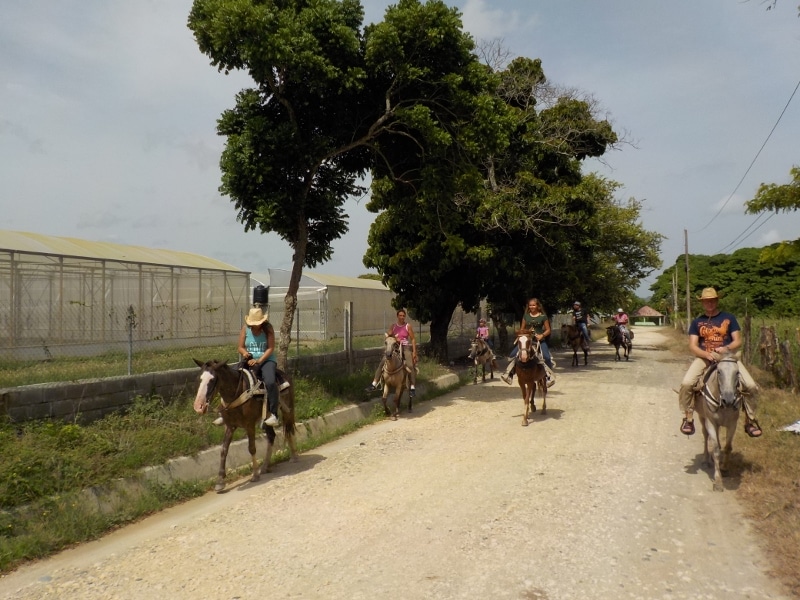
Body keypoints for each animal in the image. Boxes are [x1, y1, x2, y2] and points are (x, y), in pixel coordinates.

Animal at [192, 359, 297, 492]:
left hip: (287, 410)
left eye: (212, 380)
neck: (235, 395)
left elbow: (251, 448)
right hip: (266, 418)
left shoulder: (249, 425)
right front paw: (220, 481)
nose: (198, 406)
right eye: (199, 379)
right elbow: (223, 450)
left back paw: (293, 457)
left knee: (289, 430)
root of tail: (284, 374)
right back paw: (265, 466)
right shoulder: (230, 426)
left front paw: (255, 475)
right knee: (271, 436)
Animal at [695, 356, 742, 492]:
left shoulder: (733, 424)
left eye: (737, 372)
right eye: (719, 372)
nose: (728, 399)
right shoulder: (711, 422)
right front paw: (718, 481)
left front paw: (725, 469)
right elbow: (716, 450)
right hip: (702, 417)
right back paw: (706, 459)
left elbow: (728, 447)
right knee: (706, 436)